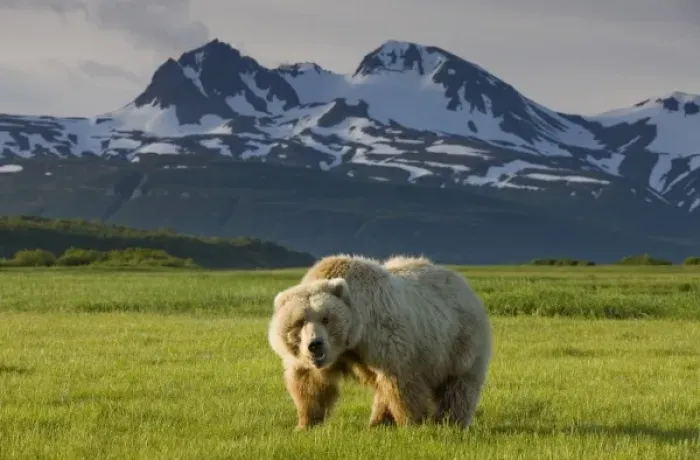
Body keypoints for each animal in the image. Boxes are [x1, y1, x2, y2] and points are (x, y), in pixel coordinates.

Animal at [267, 253, 492, 430]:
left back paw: (450, 422)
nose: (315, 344)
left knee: (458, 386)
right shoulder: (314, 360)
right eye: (299, 321)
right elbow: (311, 384)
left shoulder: (387, 339)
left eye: (325, 318)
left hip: (458, 342)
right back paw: (378, 422)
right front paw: (305, 423)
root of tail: (463, 283)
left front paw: (413, 423)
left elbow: (402, 382)